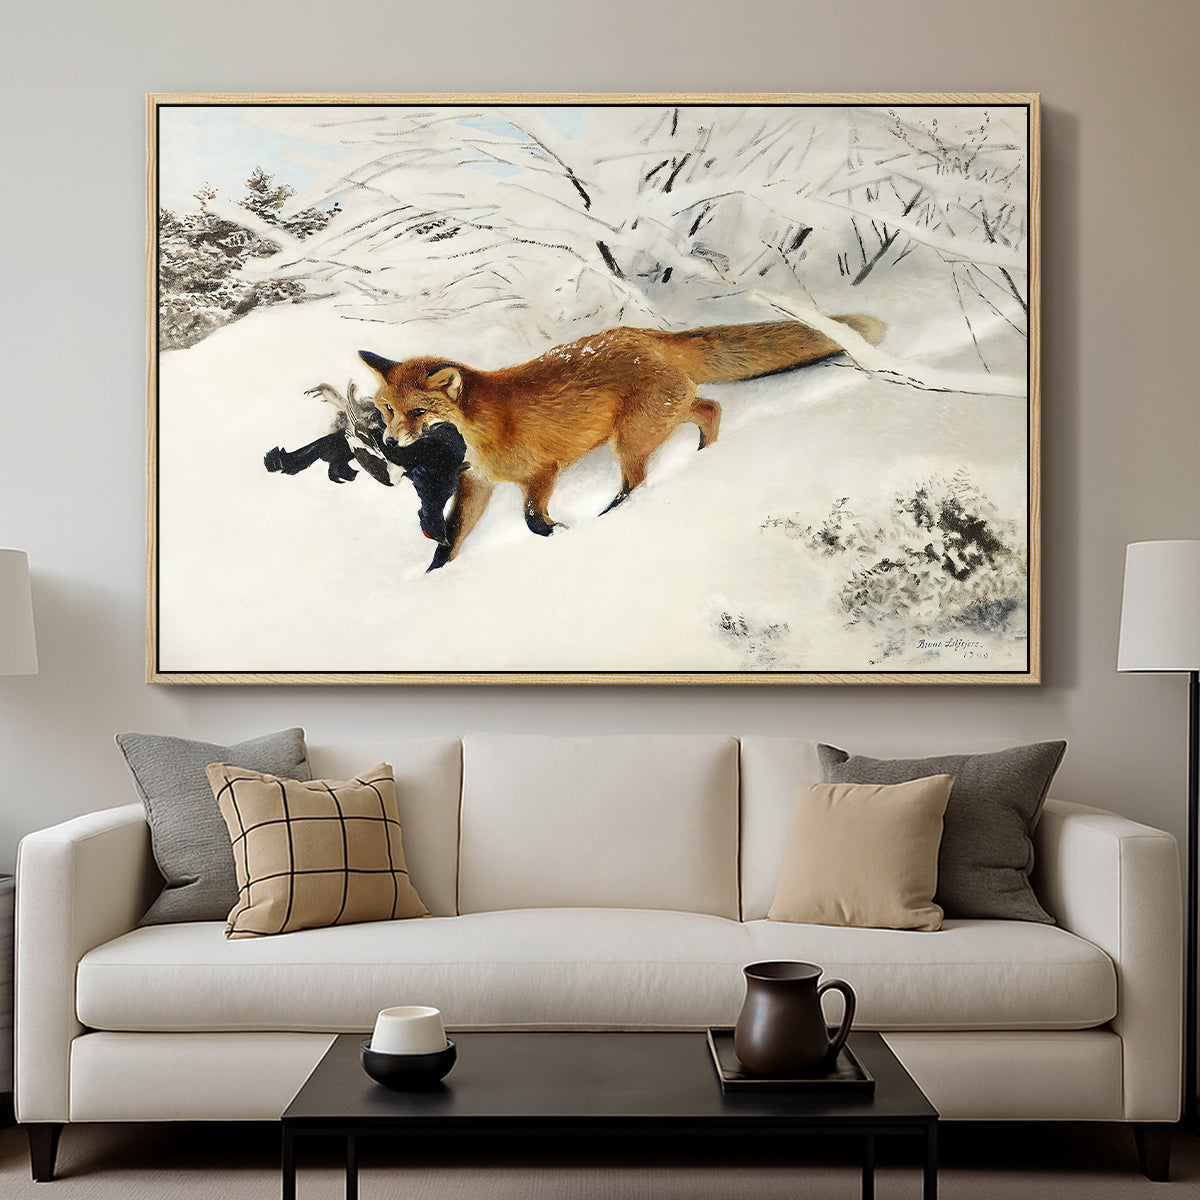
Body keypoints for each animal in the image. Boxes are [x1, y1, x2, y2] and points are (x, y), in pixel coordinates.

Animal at [360, 314, 884, 569]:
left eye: (418, 412)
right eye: (387, 408)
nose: (390, 440)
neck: (483, 429)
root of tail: (646, 334)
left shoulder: (542, 472)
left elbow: (532, 520)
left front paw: (562, 534)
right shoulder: (477, 484)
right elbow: (451, 539)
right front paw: (433, 577)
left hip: (629, 439)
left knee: (638, 481)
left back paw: (614, 514)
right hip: (658, 419)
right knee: (710, 408)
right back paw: (704, 457)